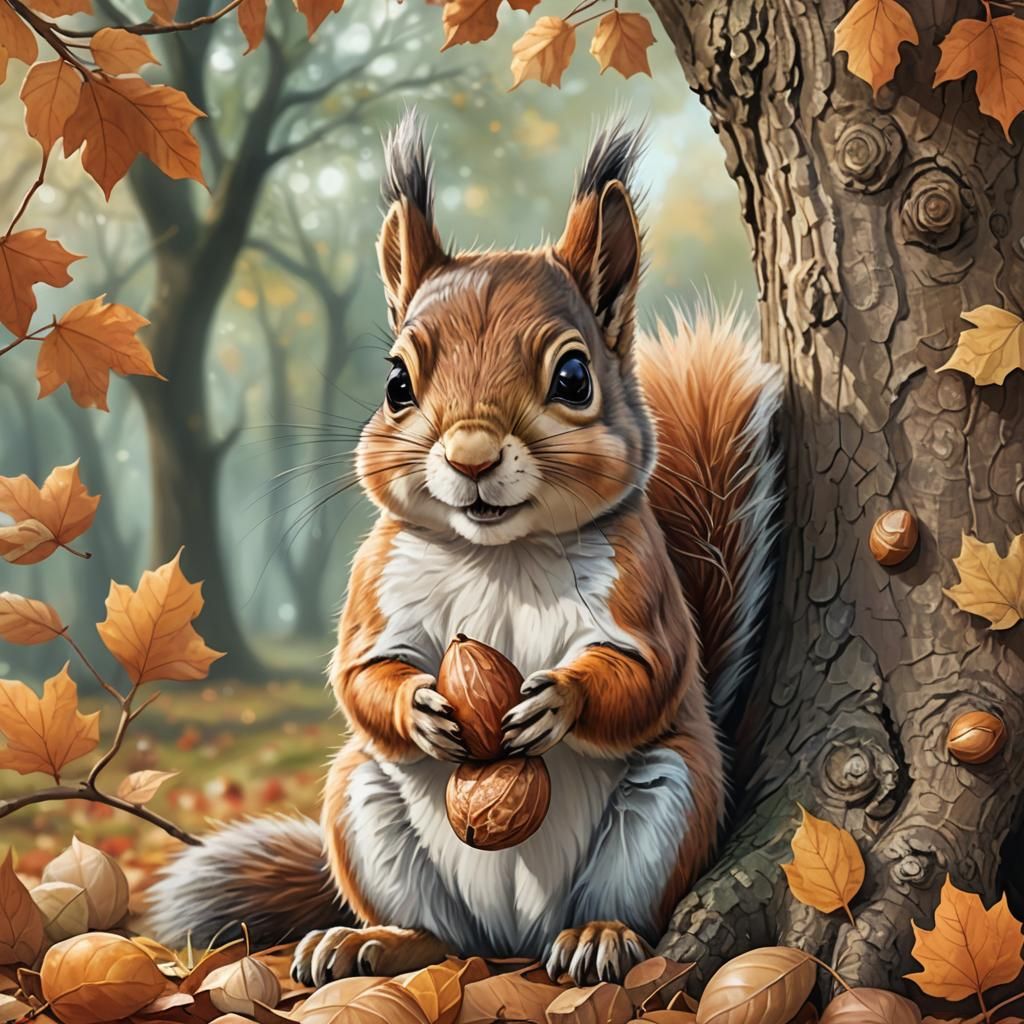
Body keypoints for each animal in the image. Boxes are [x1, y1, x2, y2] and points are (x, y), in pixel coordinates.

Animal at [146, 113, 781, 988]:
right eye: (396, 384)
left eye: (574, 376)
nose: (472, 456)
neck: (498, 555)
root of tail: (512, 941)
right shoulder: (374, 588)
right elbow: (357, 675)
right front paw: (417, 705)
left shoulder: (644, 591)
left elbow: (647, 673)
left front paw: (558, 702)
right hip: (361, 806)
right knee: (439, 935)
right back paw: (374, 943)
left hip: (670, 800)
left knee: (623, 904)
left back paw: (599, 936)